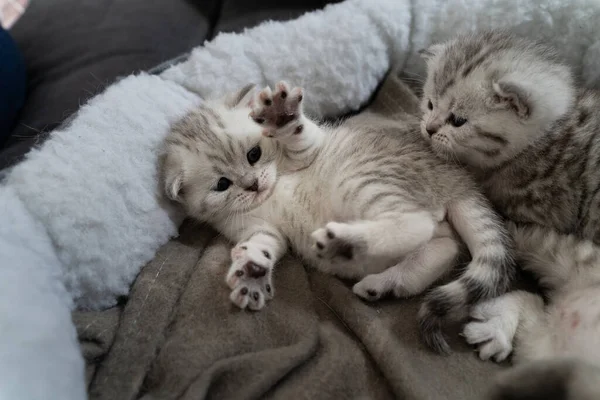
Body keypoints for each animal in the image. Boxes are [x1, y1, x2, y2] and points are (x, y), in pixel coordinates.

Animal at [162, 80, 512, 346]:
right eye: (222, 184)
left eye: (253, 154)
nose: (252, 185)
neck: (271, 190)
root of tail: (454, 177)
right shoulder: (256, 228)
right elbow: (263, 244)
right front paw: (251, 272)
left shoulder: (310, 147)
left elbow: (302, 139)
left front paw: (282, 116)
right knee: (443, 243)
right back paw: (383, 282)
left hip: (360, 181)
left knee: (416, 223)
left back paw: (345, 242)